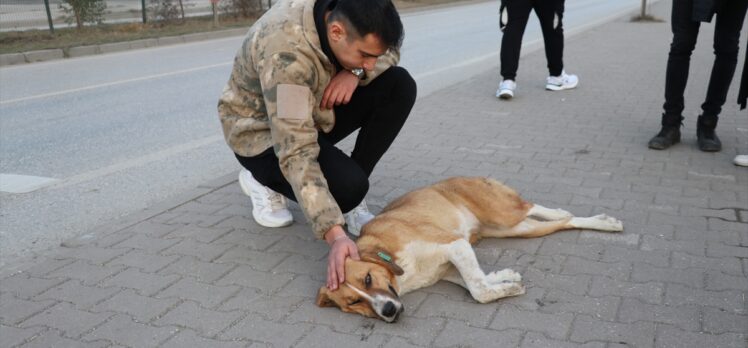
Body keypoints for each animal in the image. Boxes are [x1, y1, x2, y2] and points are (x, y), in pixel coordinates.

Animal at [316, 178, 624, 322]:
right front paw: (506, 277)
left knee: (534, 207)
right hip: (513, 229)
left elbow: (478, 289)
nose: (389, 310)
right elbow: (478, 279)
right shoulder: (451, 265)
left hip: (502, 213)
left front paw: (506, 288)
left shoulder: (455, 244)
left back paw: (588, 218)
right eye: (354, 302)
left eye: (368, 279)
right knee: (562, 222)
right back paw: (599, 222)